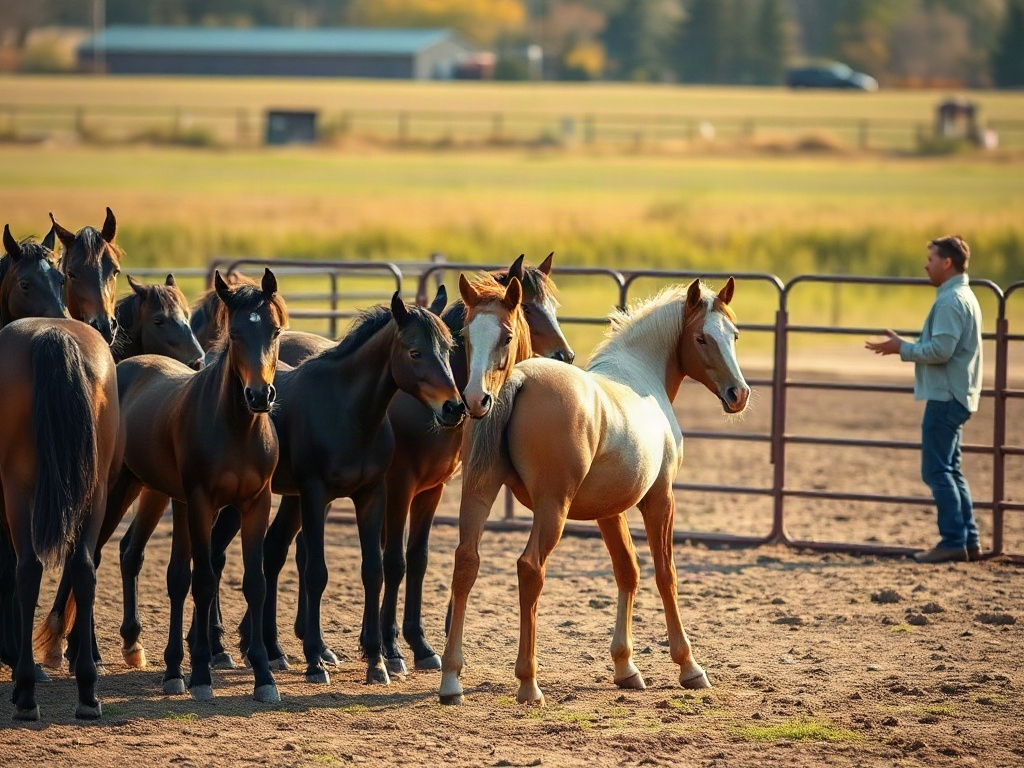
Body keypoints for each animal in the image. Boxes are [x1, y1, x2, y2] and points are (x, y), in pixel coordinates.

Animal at [0, 319, 122, 720]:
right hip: (95, 490)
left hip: (16, 490)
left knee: (27, 570)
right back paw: (87, 692)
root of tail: (52, 334)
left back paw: (25, 690)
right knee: (82, 568)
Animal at [38, 269, 288, 703]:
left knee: (126, 557)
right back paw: (79, 654)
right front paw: (201, 675)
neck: (237, 428)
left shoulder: (253, 505)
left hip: (147, 491)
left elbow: (251, 583)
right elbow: (202, 580)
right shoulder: (202, 503)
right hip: (112, 492)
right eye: (235, 333)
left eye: (274, 331)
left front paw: (262, 676)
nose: (259, 395)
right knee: (87, 557)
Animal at [439, 278, 750, 706]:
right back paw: (528, 683)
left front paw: (625, 667)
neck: (641, 374)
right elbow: (665, 574)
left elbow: (628, 571)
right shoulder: (660, 499)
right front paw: (689, 666)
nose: (739, 394)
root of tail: (518, 379)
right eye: (702, 337)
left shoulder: (609, 511)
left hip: (478, 491)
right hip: (552, 508)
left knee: (465, 563)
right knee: (530, 568)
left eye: (733, 335)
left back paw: (451, 680)